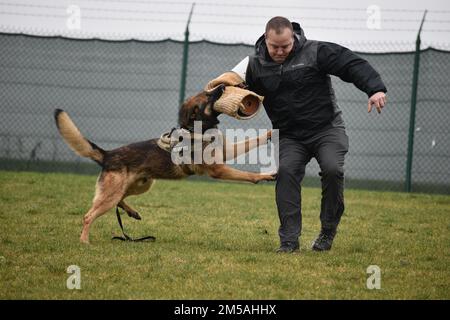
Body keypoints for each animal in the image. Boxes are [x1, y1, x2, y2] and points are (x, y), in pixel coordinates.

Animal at [54, 86, 276, 244]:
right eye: (207, 95)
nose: (222, 86)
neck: (199, 129)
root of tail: (108, 155)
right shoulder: (218, 170)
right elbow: (246, 175)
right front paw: (265, 176)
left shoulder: (226, 151)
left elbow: (251, 142)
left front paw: (270, 133)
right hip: (114, 192)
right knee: (89, 215)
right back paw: (84, 241)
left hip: (141, 185)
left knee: (120, 199)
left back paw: (132, 212)